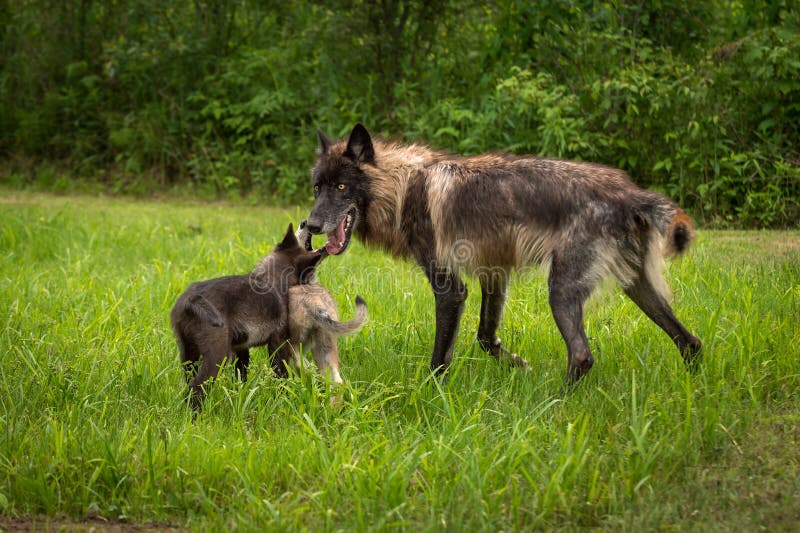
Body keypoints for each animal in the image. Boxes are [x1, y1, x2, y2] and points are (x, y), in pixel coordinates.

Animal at [171, 224, 326, 411]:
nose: (304, 223)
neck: (273, 277)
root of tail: (191, 298)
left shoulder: (241, 349)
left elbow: (241, 376)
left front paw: (240, 398)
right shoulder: (277, 345)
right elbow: (281, 375)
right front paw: (283, 399)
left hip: (188, 354)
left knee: (189, 381)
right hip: (217, 356)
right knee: (197, 387)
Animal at [304, 123, 701, 382]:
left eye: (342, 187)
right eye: (317, 188)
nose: (310, 225)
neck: (404, 187)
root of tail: (629, 192)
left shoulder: (451, 290)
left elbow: (439, 360)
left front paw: (429, 396)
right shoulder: (494, 274)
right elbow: (485, 337)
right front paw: (518, 365)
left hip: (561, 293)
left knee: (582, 356)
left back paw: (557, 404)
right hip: (637, 289)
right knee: (691, 342)